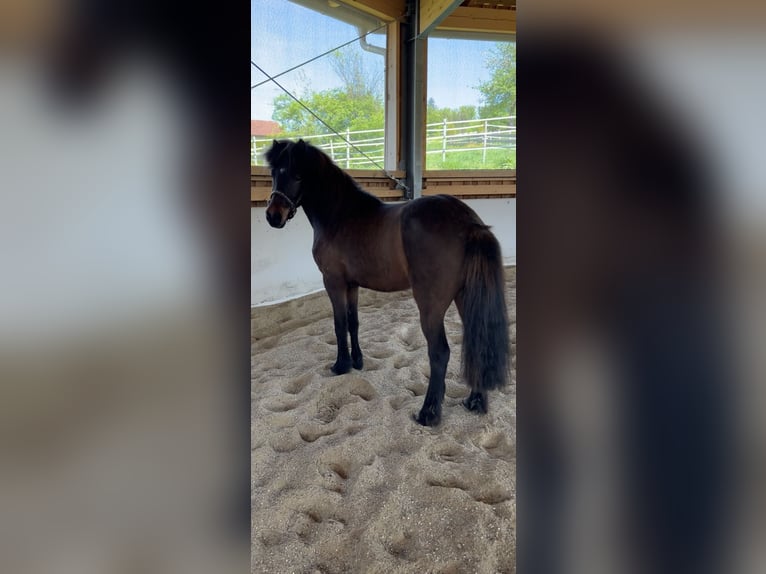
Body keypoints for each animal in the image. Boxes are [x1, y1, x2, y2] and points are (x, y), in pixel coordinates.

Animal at [264, 139, 509, 426]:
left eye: (298, 175)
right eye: (274, 173)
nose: (273, 216)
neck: (341, 215)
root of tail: (469, 222)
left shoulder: (333, 281)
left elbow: (339, 324)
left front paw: (340, 365)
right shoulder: (352, 284)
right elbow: (353, 322)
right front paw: (357, 362)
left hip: (430, 305)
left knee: (439, 353)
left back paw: (428, 413)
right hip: (465, 296)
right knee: (478, 340)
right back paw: (474, 401)